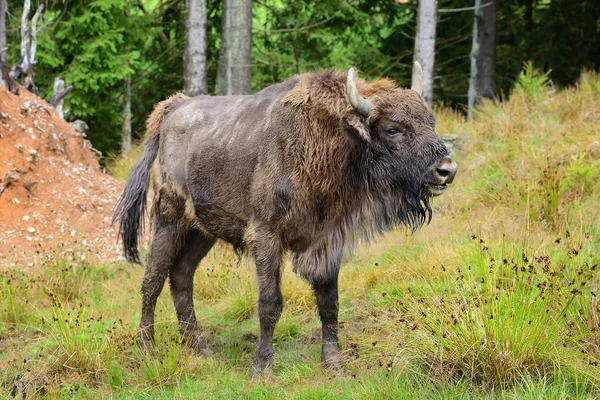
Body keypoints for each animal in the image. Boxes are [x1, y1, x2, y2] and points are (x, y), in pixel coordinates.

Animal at [113, 63, 460, 378]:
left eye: (430, 121)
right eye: (392, 129)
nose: (447, 169)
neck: (326, 139)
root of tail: (173, 108)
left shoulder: (327, 241)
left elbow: (329, 302)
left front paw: (334, 365)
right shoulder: (267, 238)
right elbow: (270, 303)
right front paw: (262, 368)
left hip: (202, 231)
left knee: (182, 277)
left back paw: (200, 348)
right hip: (168, 220)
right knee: (153, 278)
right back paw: (148, 348)